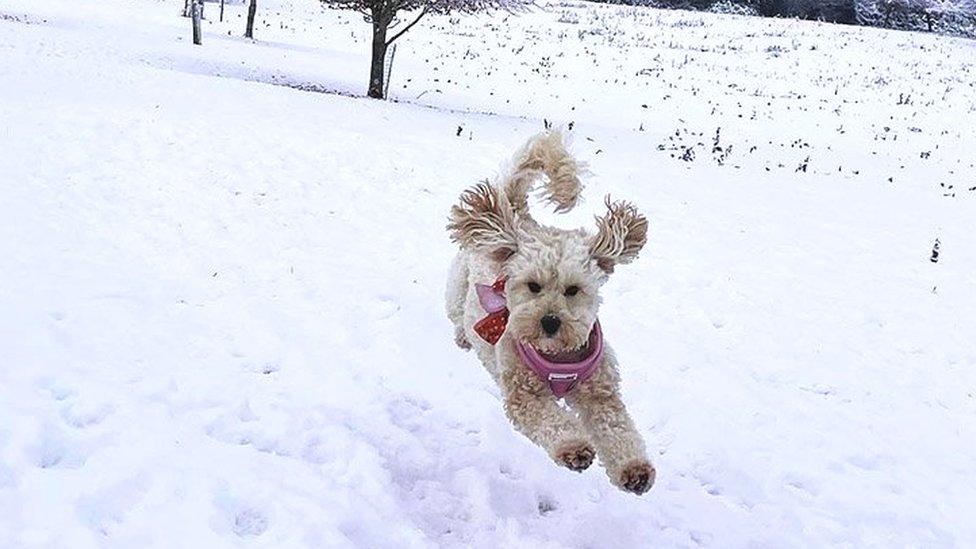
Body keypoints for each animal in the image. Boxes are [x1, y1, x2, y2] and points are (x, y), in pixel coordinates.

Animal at [446, 131, 652, 494]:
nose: (550, 322)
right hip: (457, 285)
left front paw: (635, 469)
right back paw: (463, 336)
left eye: (573, 289)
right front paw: (575, 447)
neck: (558, 358)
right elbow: (550, 421)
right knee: (456, 312)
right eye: (532, 286)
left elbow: (618, 429)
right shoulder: (524, 395)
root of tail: (519, 221)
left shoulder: (601, 393)